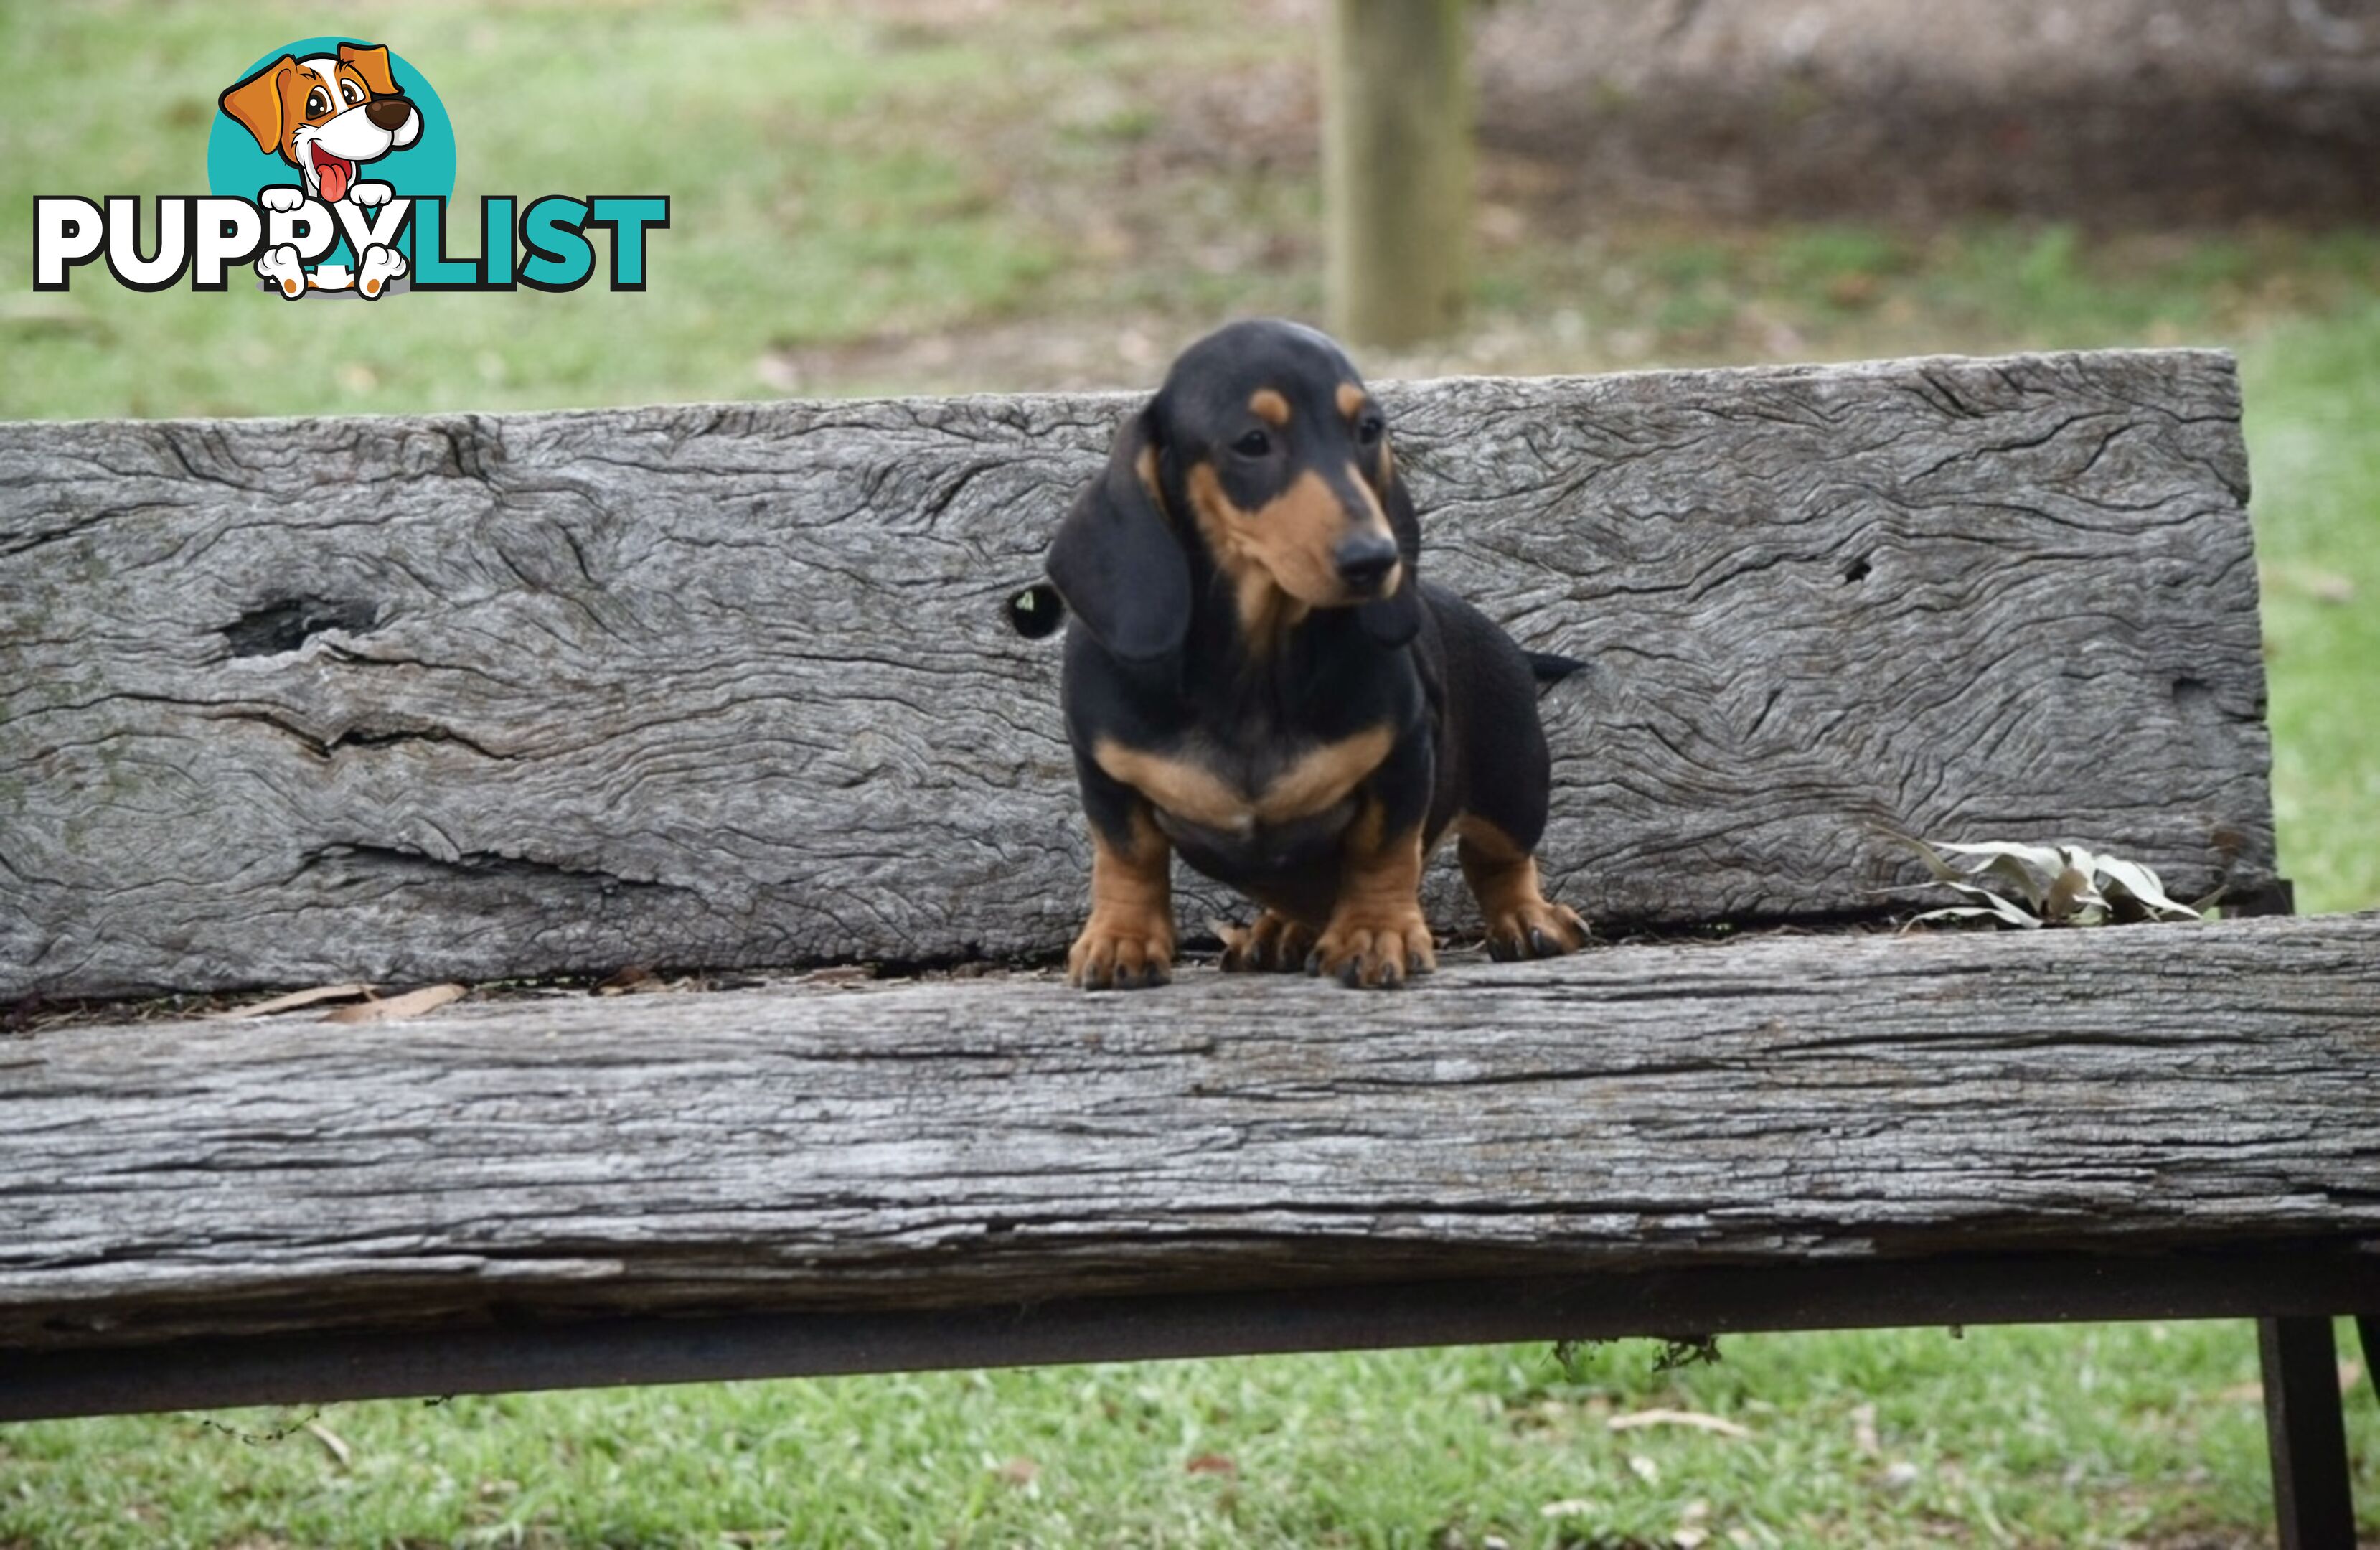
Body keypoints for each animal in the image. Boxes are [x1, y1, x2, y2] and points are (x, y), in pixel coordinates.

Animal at [1042, 319, 1580, 990]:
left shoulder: (1401, 759)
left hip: (1513, 788)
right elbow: (1127, 856)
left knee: (1499, 859)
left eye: (1368, 429)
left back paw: (1526, 918)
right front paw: (1122, 939)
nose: (1376, 560)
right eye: (1252, 442)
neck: (1253, 666)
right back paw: (1280, 932)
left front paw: (1376, 934)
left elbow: (1382, 853)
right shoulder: (1106, 774)